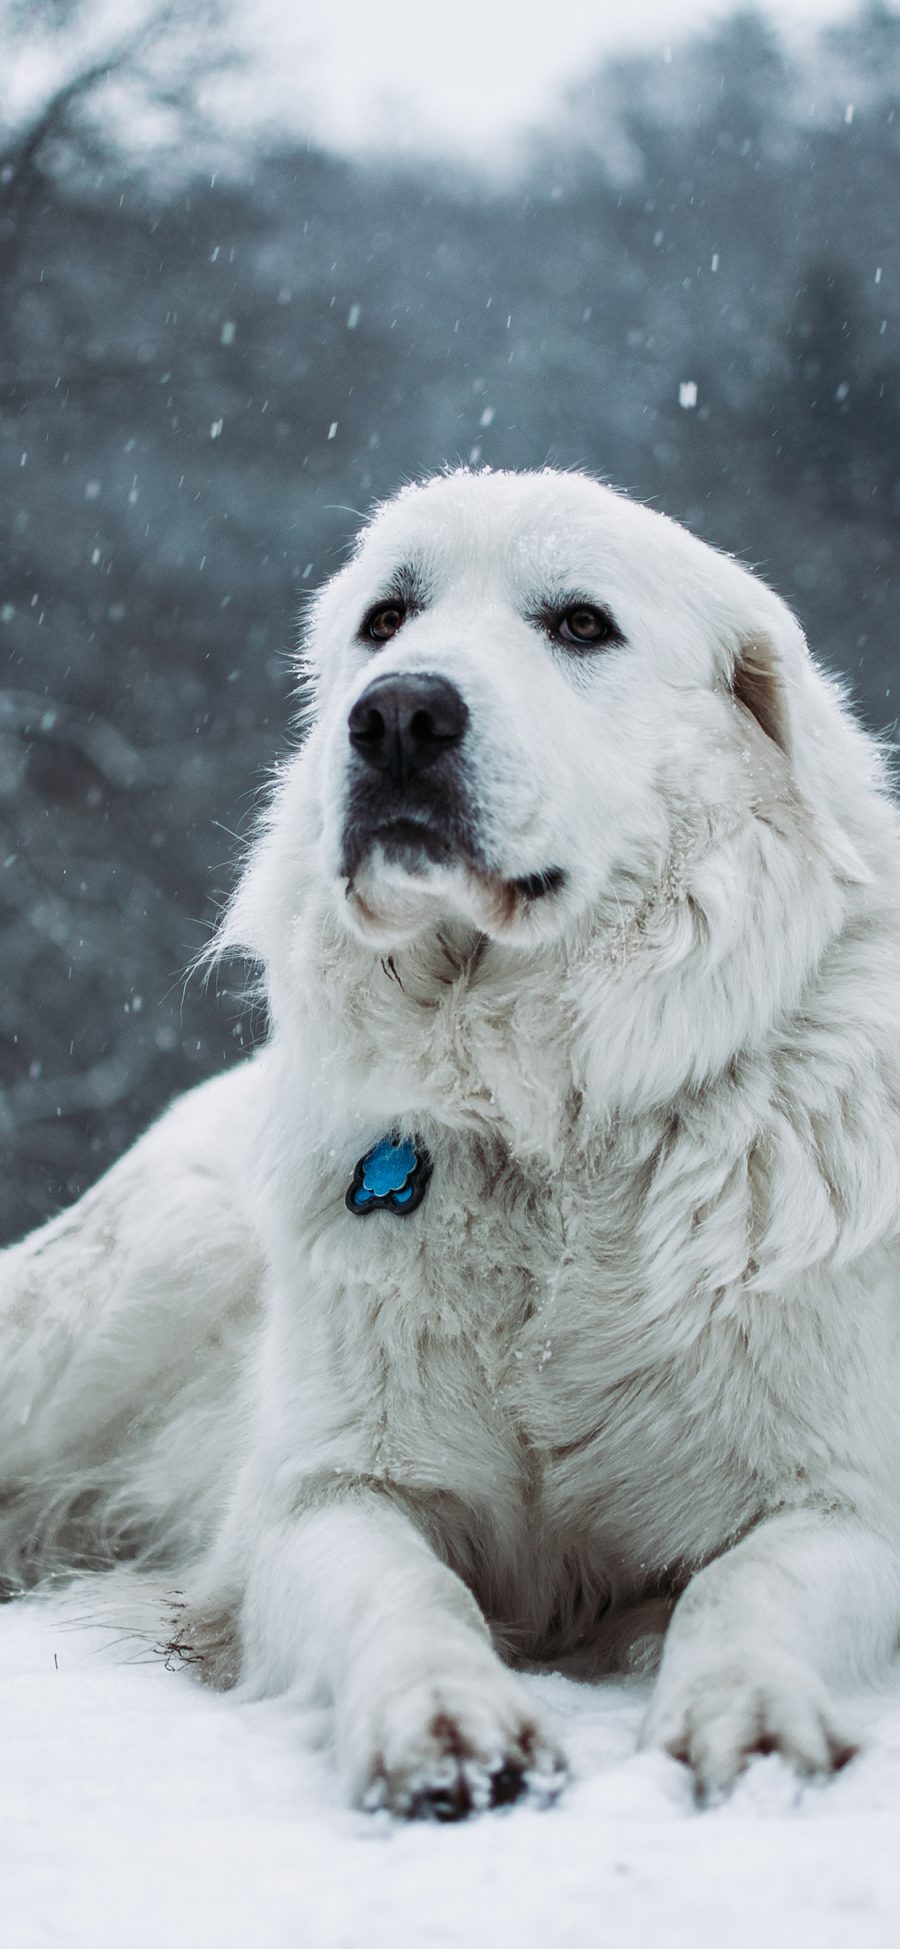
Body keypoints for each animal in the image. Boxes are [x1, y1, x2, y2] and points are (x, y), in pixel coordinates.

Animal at [1, 467, 900, 1808]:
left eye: (581, 623)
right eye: (387, 620)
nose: (399, 714)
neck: (551, 1120)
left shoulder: (846, 1498)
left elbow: (752, 1579)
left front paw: (746, 1711)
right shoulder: (332, 1489)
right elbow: (404, 1587)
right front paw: (443, 1717)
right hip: (146, 1274)